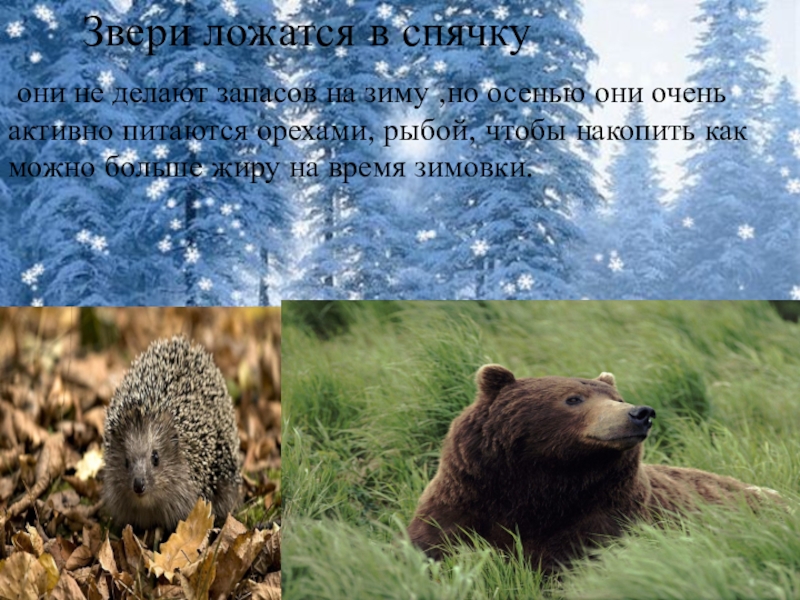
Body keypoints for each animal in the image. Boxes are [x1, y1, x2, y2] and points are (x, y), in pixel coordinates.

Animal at [408, 364, 779, 571]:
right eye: (573, 399)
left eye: (616, 398)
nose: (640, 413)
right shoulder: (467, 499)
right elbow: (437, 546)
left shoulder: (602, 515)